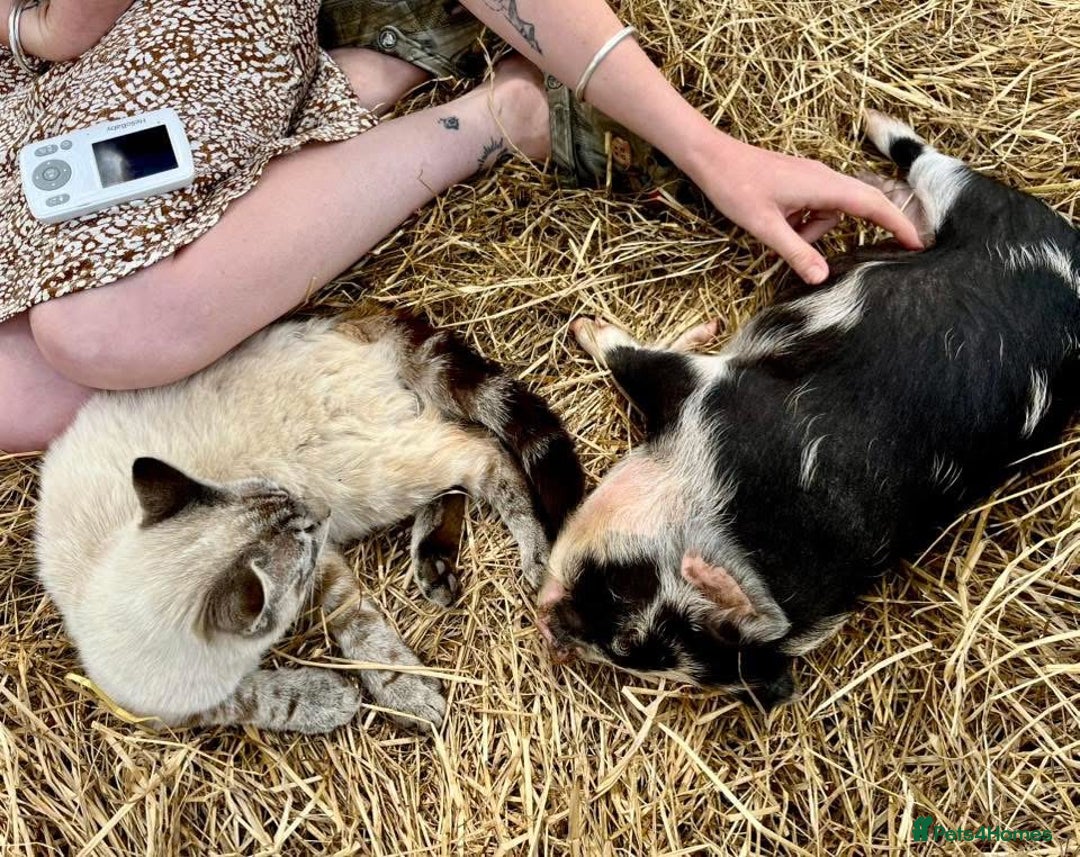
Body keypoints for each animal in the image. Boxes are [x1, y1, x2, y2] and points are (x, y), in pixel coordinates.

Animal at [537, 111, 1080, 707]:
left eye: (626, 622)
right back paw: (871, 168)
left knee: (931, 161)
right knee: (912, 209)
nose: (549, 629)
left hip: (979, 199)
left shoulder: (710, 391)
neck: (743, 520)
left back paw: (874, 125)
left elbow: (633, 358)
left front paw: (586, 327)